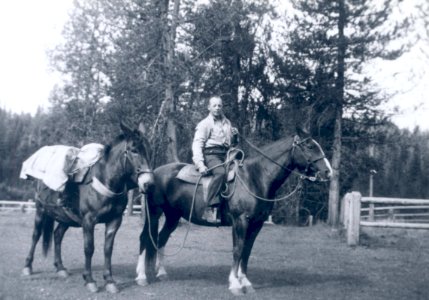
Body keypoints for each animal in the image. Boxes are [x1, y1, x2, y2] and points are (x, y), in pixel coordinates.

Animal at [21, 123, 155, 294]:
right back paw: (27, 267)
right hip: (40, 211)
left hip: (66, 218)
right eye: (134, 150)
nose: (148, 184)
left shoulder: (114, 220)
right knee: (36, 235)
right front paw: (89, 280)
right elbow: (89, 248)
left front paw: (109, 281)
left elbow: (108, 249)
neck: (104, 181)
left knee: (57, 235)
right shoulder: (89, 221)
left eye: (150, 150)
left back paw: (60, 268)